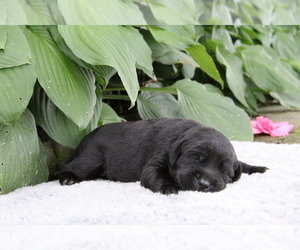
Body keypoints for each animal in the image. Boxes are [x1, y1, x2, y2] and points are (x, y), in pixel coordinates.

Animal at [59, 118, 268, 194]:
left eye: (224, 172)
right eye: (195, 158)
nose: (205, 184)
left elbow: (241, 163)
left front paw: (257, 168)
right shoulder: (157, 160)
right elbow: (158, 175)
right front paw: (169, 188)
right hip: (93, 157)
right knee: (69, 167)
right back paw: (68, 179)